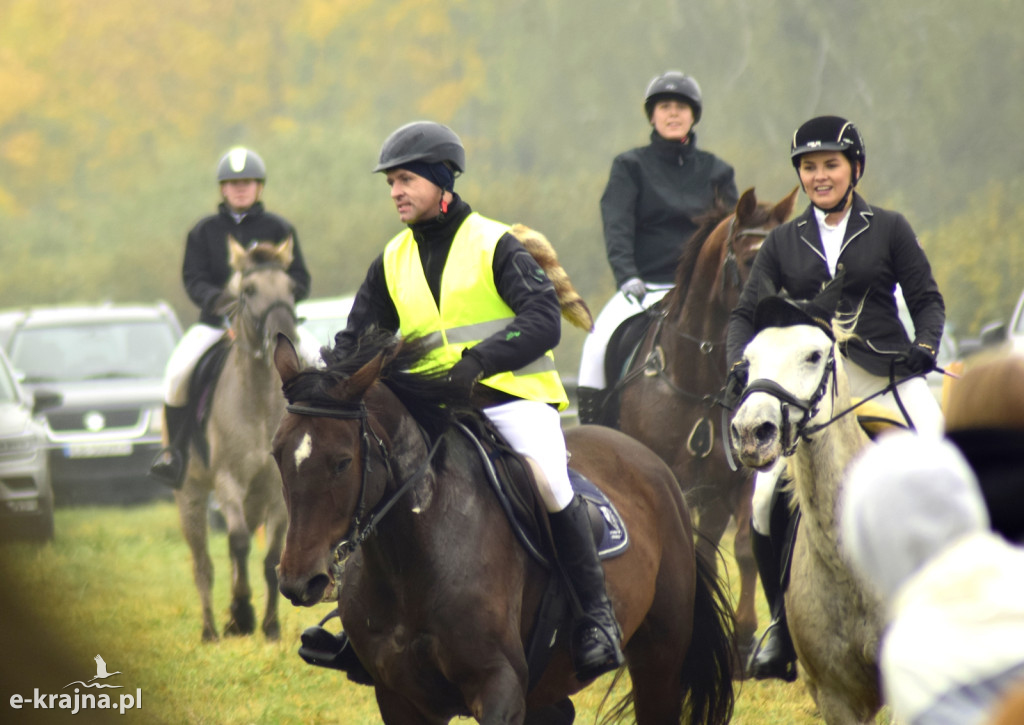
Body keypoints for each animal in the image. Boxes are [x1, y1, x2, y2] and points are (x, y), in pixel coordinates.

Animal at [174, 237, 296, 638]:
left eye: (291, 288)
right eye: (249, 290)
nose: (283, 333)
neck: (258, 402)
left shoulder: (277, 490)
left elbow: (272, 556)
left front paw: (270, 626)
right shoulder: (228, 481)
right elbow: (240, 542)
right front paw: (243, 613)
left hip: (254, 498)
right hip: (191, 496)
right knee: (203, 562)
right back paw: (212, 629)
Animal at [272, 333, 737, 724]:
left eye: (342, 461)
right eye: (278, 453)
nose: (299, 581)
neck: (412, 560)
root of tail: (651, 462)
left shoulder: (499, 688)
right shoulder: (400, 699)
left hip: (660, 660)